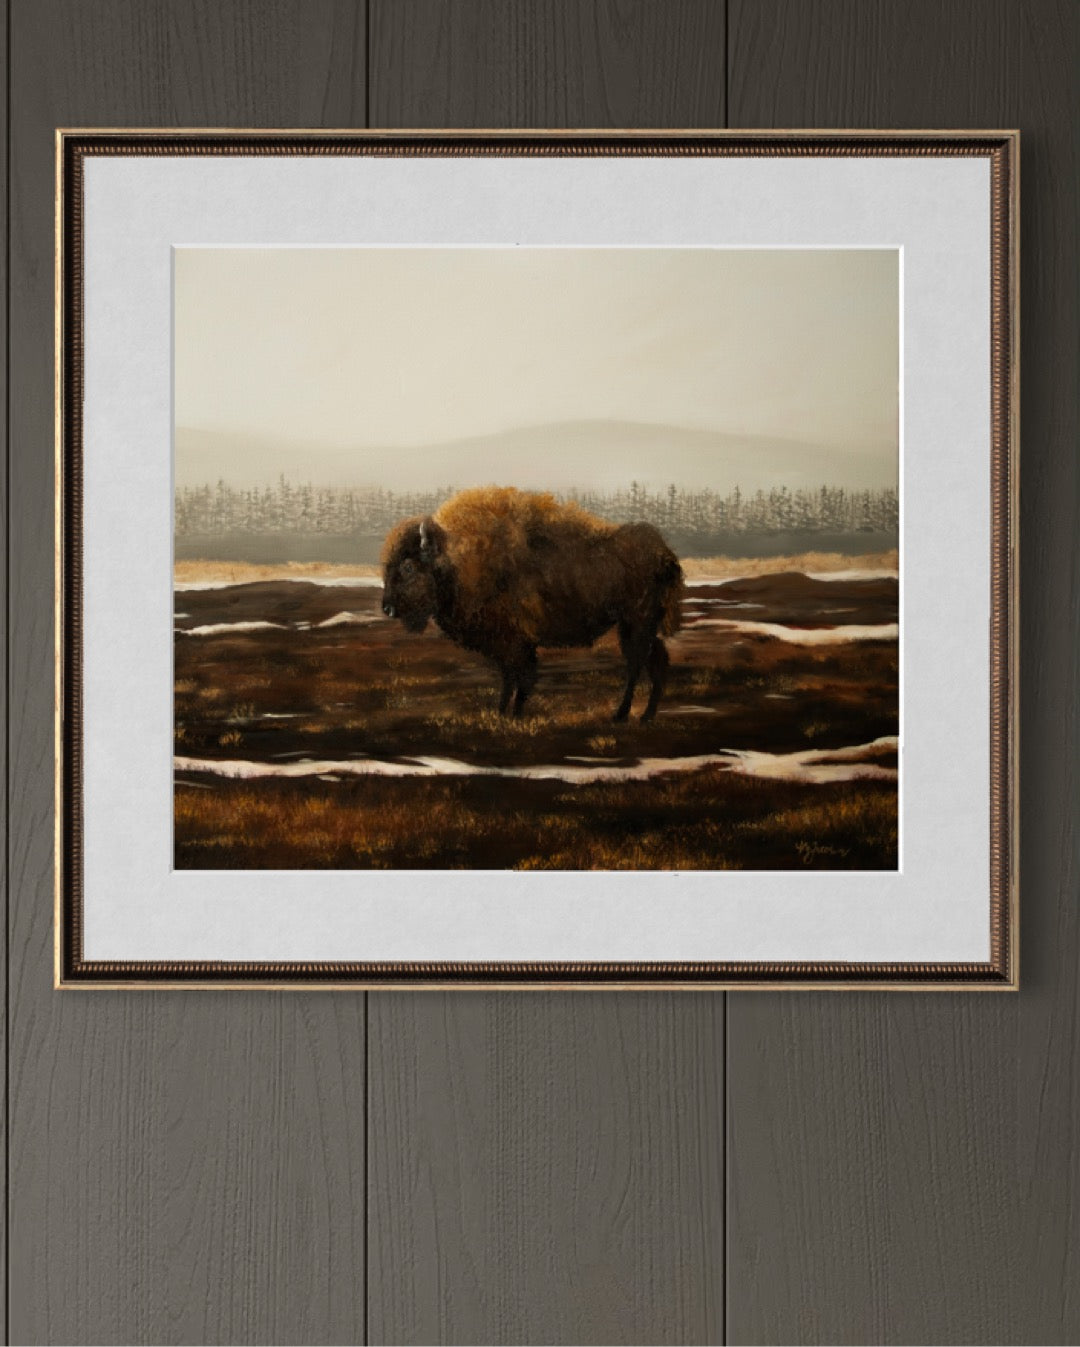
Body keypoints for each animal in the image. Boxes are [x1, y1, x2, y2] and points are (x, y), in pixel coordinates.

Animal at [380, 486, 683, 721]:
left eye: (408, 567)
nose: (387, 608)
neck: (457, 561)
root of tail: (665, 553)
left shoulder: (514, 642)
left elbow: (520, 677)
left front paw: (513, 714)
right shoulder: (508, 645)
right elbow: (510, 677)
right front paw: (502, 713)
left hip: (636, 623)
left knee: (636, 665)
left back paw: (621, 715)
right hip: (638, 626)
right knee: (656, 661)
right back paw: (646, 716)